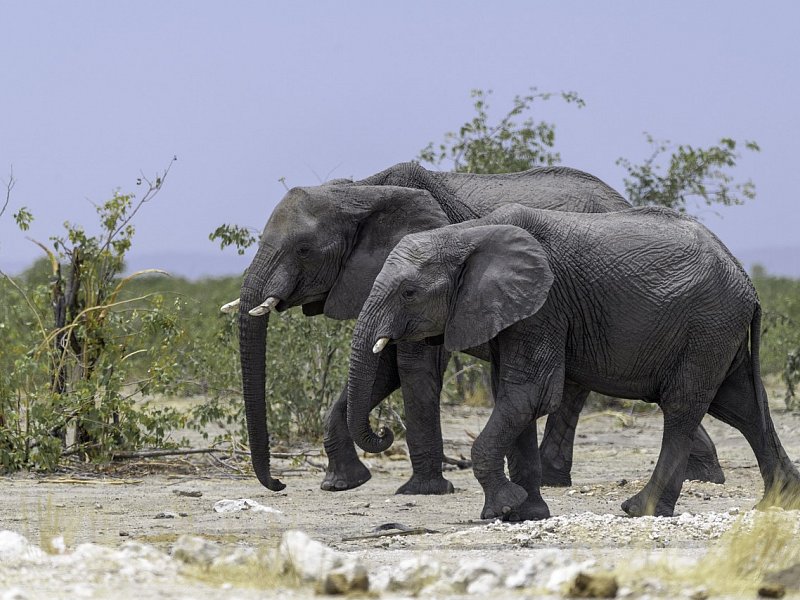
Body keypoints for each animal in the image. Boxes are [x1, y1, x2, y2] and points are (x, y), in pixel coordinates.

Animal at [222, 162, 720, 494]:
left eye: (304, 249)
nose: (279, 484)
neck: (359, 190)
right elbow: (383, 370)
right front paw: (341, 484)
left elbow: (412, 367)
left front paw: (422, 491)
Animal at [348, 203, 800, 520]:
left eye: (408, 293)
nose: (385, 432)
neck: (466, 234)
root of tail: (747, 281)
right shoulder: (515, 314)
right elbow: (513, 398)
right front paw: (524, 514)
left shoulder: (544, 307)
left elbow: (529, 395)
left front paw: (502, 509)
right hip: (718, 331)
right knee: (742, 407)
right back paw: (779, 505)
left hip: (707, 326)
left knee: (683, 408)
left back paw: (639, 510)